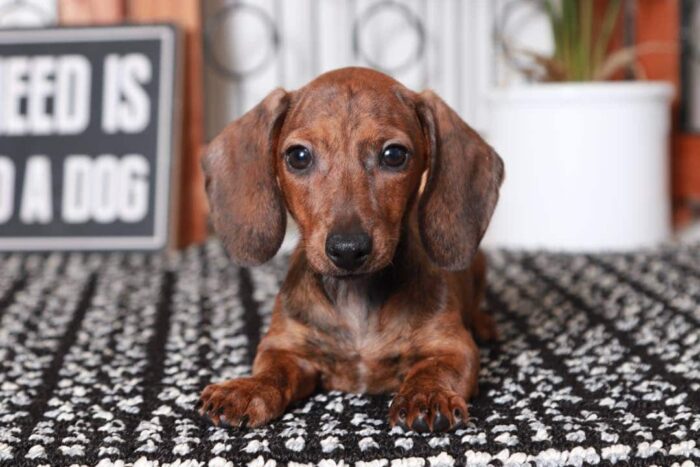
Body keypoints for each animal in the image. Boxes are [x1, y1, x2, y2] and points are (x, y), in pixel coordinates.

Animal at [197, 66, 504, 436]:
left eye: (394, 155)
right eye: (298, 156)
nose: (347, 250)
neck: (356, 296)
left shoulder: (453, 347)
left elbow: (433, 368)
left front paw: (427, 394)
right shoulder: (284, 347)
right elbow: (273, 372)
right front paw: (247, 388)